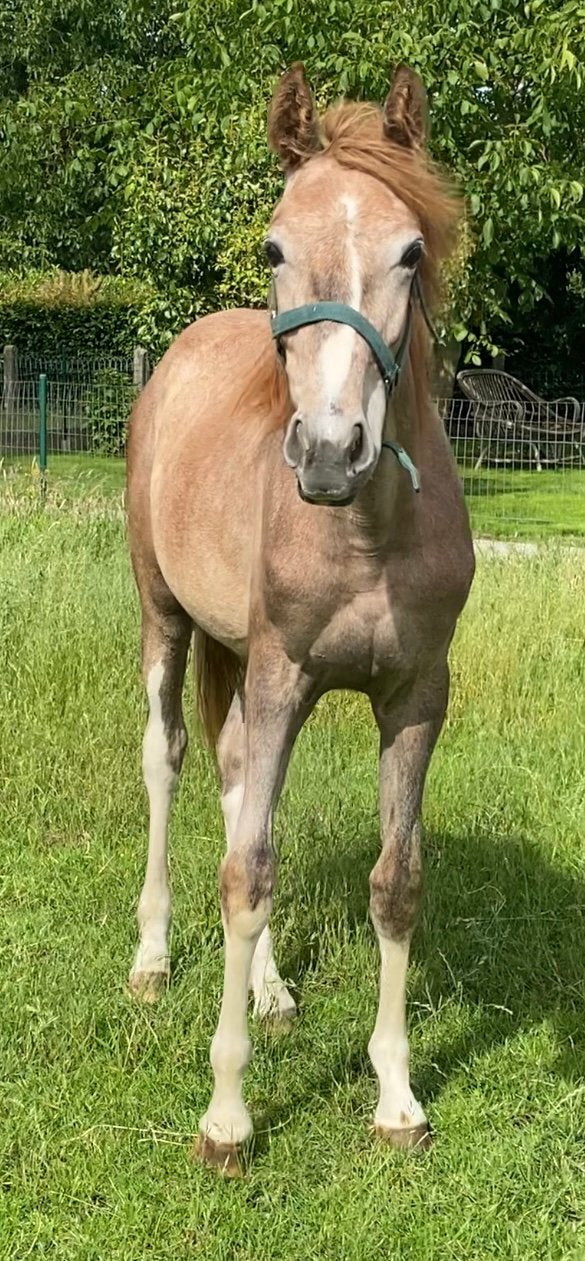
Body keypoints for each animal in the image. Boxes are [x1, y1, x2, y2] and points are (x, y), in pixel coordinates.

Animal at [126, 62, 475, 1174]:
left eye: (411, 251)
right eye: (276, 245)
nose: (329, 451)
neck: (364, 529)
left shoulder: (413, 696)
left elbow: (394, 879)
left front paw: (398, 1099)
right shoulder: (283, 673)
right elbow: (246, 874)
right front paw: (227, 1118)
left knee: (240, 779)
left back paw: (274, 990)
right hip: (168, 621)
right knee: (171, 761)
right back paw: (151, 959)